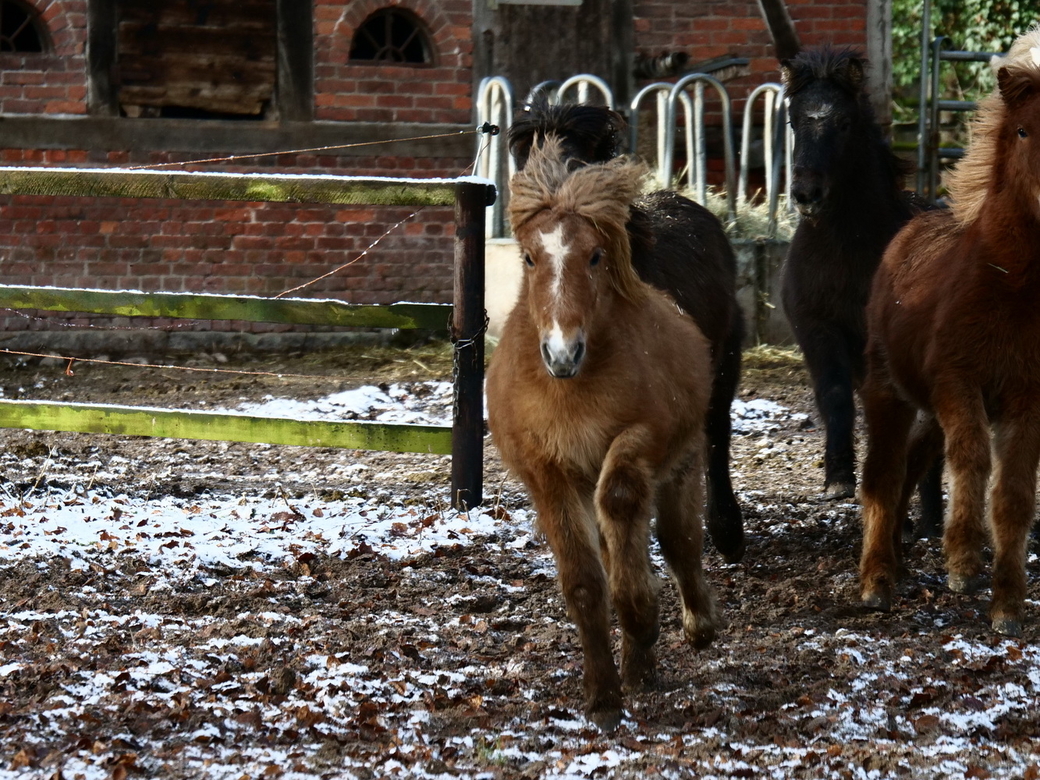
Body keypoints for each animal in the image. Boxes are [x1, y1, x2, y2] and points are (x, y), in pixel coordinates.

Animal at [484, 137, 715, 732]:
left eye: (594, 256)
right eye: (529, 257)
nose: (562, 353)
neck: (573, 390)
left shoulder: (643, 439)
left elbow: (625, 504)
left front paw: (642, 616)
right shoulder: (548, 474)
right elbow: (587, 584)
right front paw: (604, 695)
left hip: (682, 467)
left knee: (679, 542)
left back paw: (693, 627)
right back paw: (637, 668)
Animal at [782, 47, 944, 536]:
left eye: (844, 122)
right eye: (794, 120)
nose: (806, 193)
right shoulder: (817, 328)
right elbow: (834, 394)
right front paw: (837, 478)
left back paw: (930, 521)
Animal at [861, 28, 1040, 640]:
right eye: (1023, 129)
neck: (1010, 287)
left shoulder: (1026, 400)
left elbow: (1013, 496)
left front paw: (1008, 605)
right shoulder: (958, 382)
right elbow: (972, 460)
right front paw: (962, 562)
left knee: (915, 464)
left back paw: (898, 559)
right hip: (888, 389)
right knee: (885, 473)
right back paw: (876, 581)